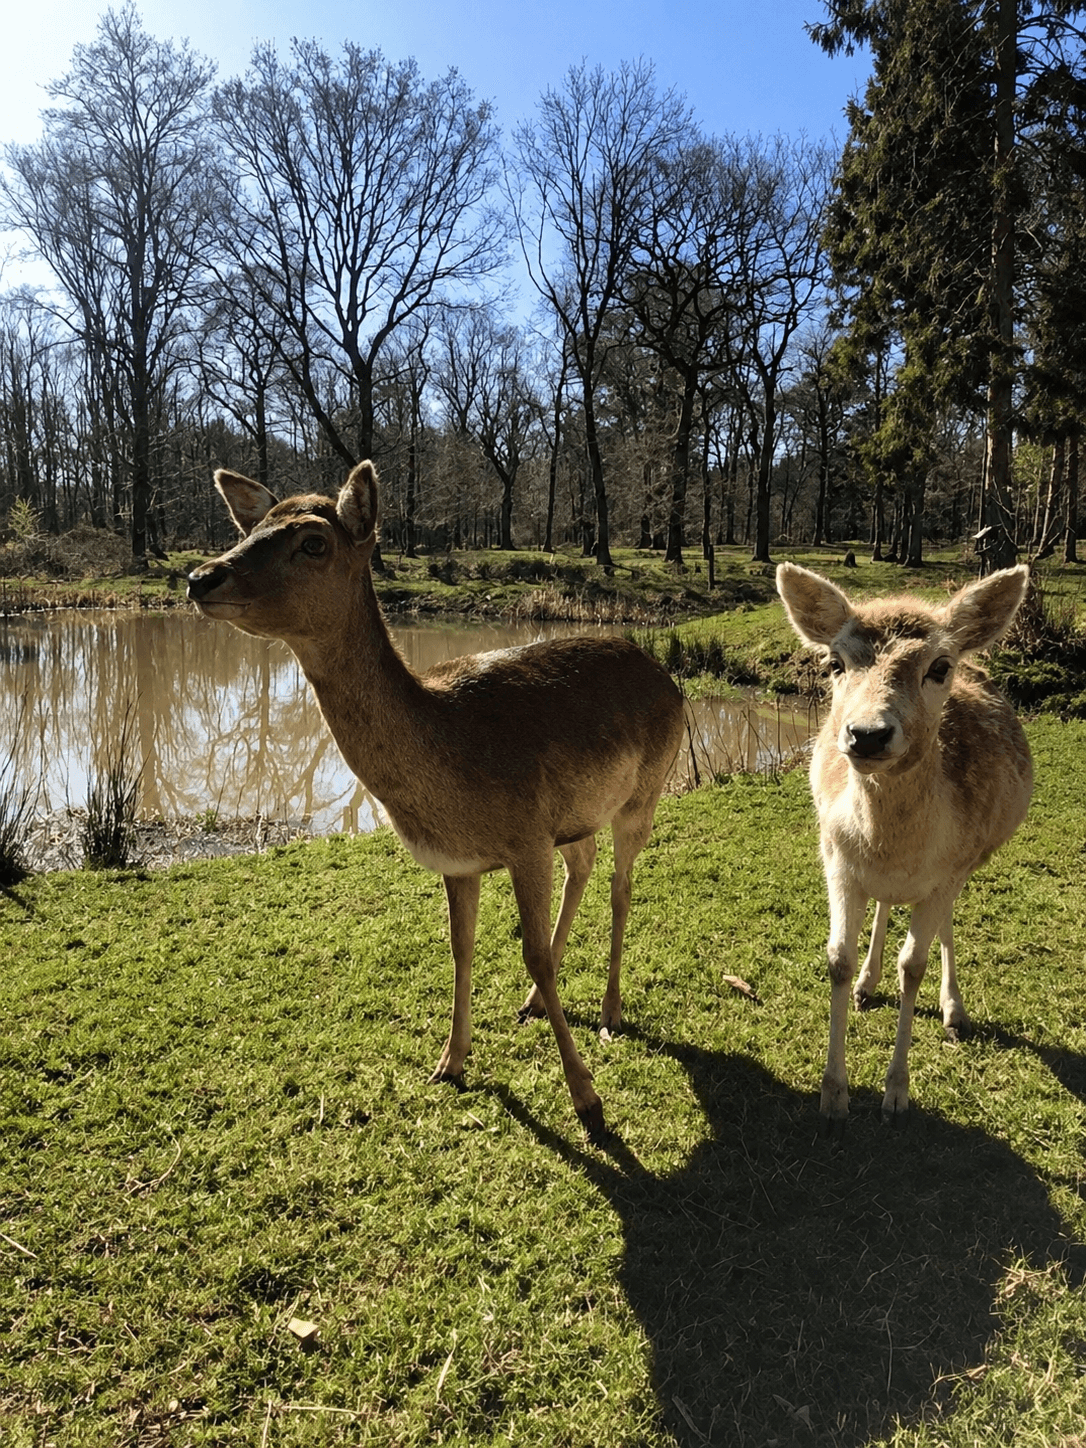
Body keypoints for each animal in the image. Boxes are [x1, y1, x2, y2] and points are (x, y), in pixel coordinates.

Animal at [187, 460, 685, 1142]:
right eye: (252, 527)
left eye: (313, 541)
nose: (200, 577)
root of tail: (671, 678)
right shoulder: (463, 861)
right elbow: (460, 947)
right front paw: (450, 1061)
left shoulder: (526, 838)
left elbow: (532, 954)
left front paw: (587, 1099)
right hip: (578, 816)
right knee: (583, 867)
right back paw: (534, 1006)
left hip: (645, 793)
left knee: (622, 884)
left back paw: (609, 1010)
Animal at [775, 562, 1033, 1134]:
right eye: (834, 662)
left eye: (939, 666)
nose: (867, 734)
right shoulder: (836, 857)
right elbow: (837, 959)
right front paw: (833, 1094)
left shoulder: (951, 868)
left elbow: (913, 964)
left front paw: (896, 1093)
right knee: (886, 904)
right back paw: (868, 983)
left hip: (968, 865)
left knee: (945, 925)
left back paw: (954, 1010)